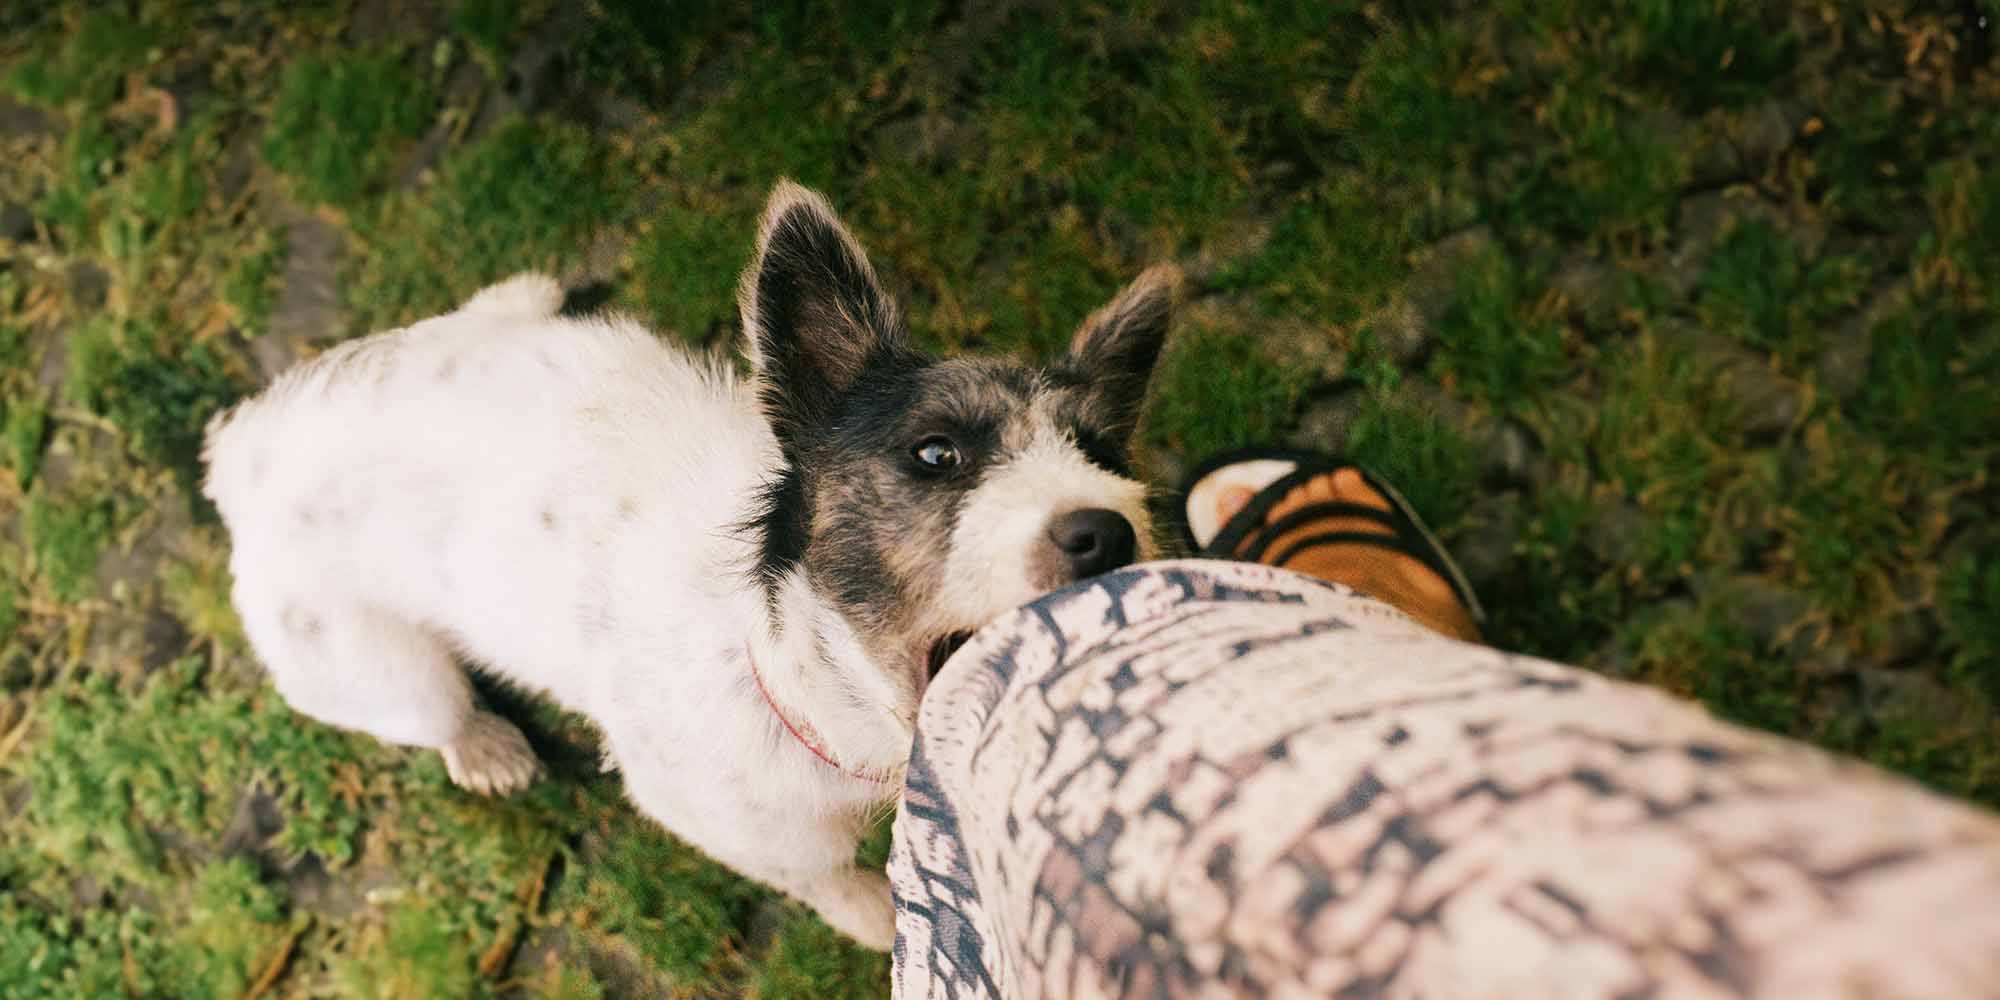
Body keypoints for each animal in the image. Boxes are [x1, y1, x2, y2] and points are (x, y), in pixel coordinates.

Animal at [203, 180, 1176, 944]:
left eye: (1102, 452)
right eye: (935, 453)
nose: (1105, 532)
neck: (785, 664)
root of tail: (245, 444)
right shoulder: (715, 813)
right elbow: (819, 877)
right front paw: (869, 915)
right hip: (376, 671)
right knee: (433, 712)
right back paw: (483, 746)